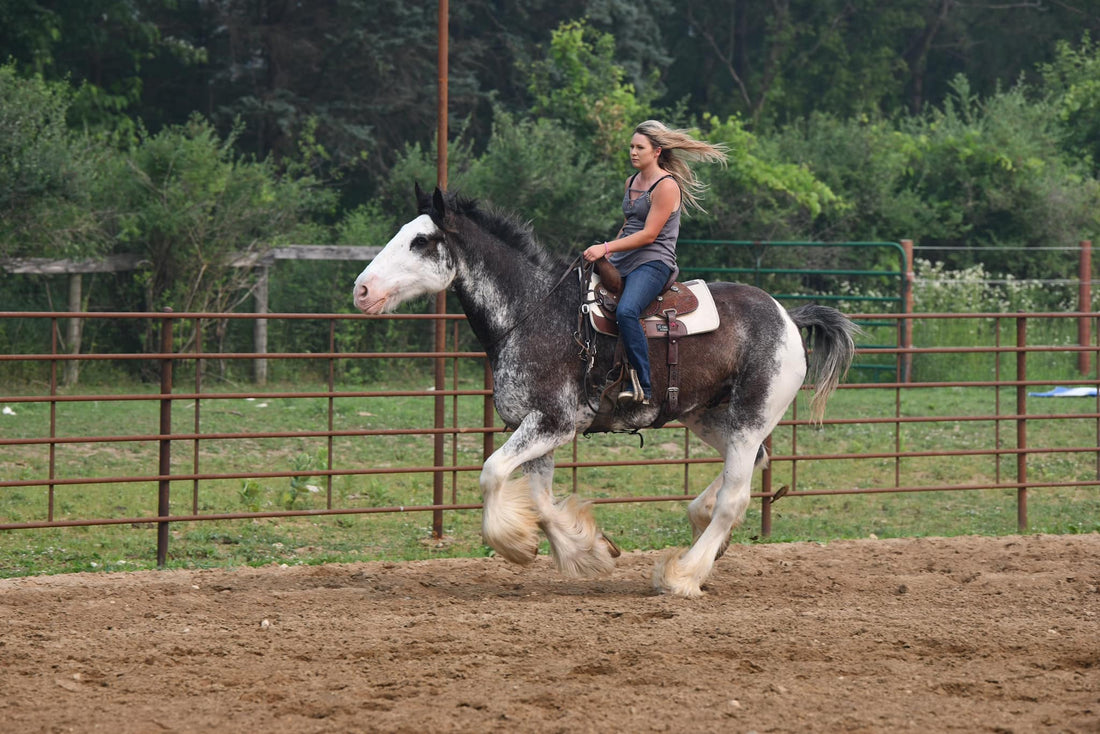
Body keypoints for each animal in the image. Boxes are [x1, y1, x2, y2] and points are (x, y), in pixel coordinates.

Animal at [353, 186, 859, 597]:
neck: (534, 313)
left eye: (421, 241)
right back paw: (700, 527)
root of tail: (788, 316)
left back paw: (682, 575)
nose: (361, 290)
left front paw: (516, 546)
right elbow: (541, 502)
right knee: (752, 465)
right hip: (711, 417)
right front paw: (588, 553)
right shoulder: (535, 430)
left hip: (752, 417)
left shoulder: (552, 423)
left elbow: (492, 473)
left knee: (734, 497)